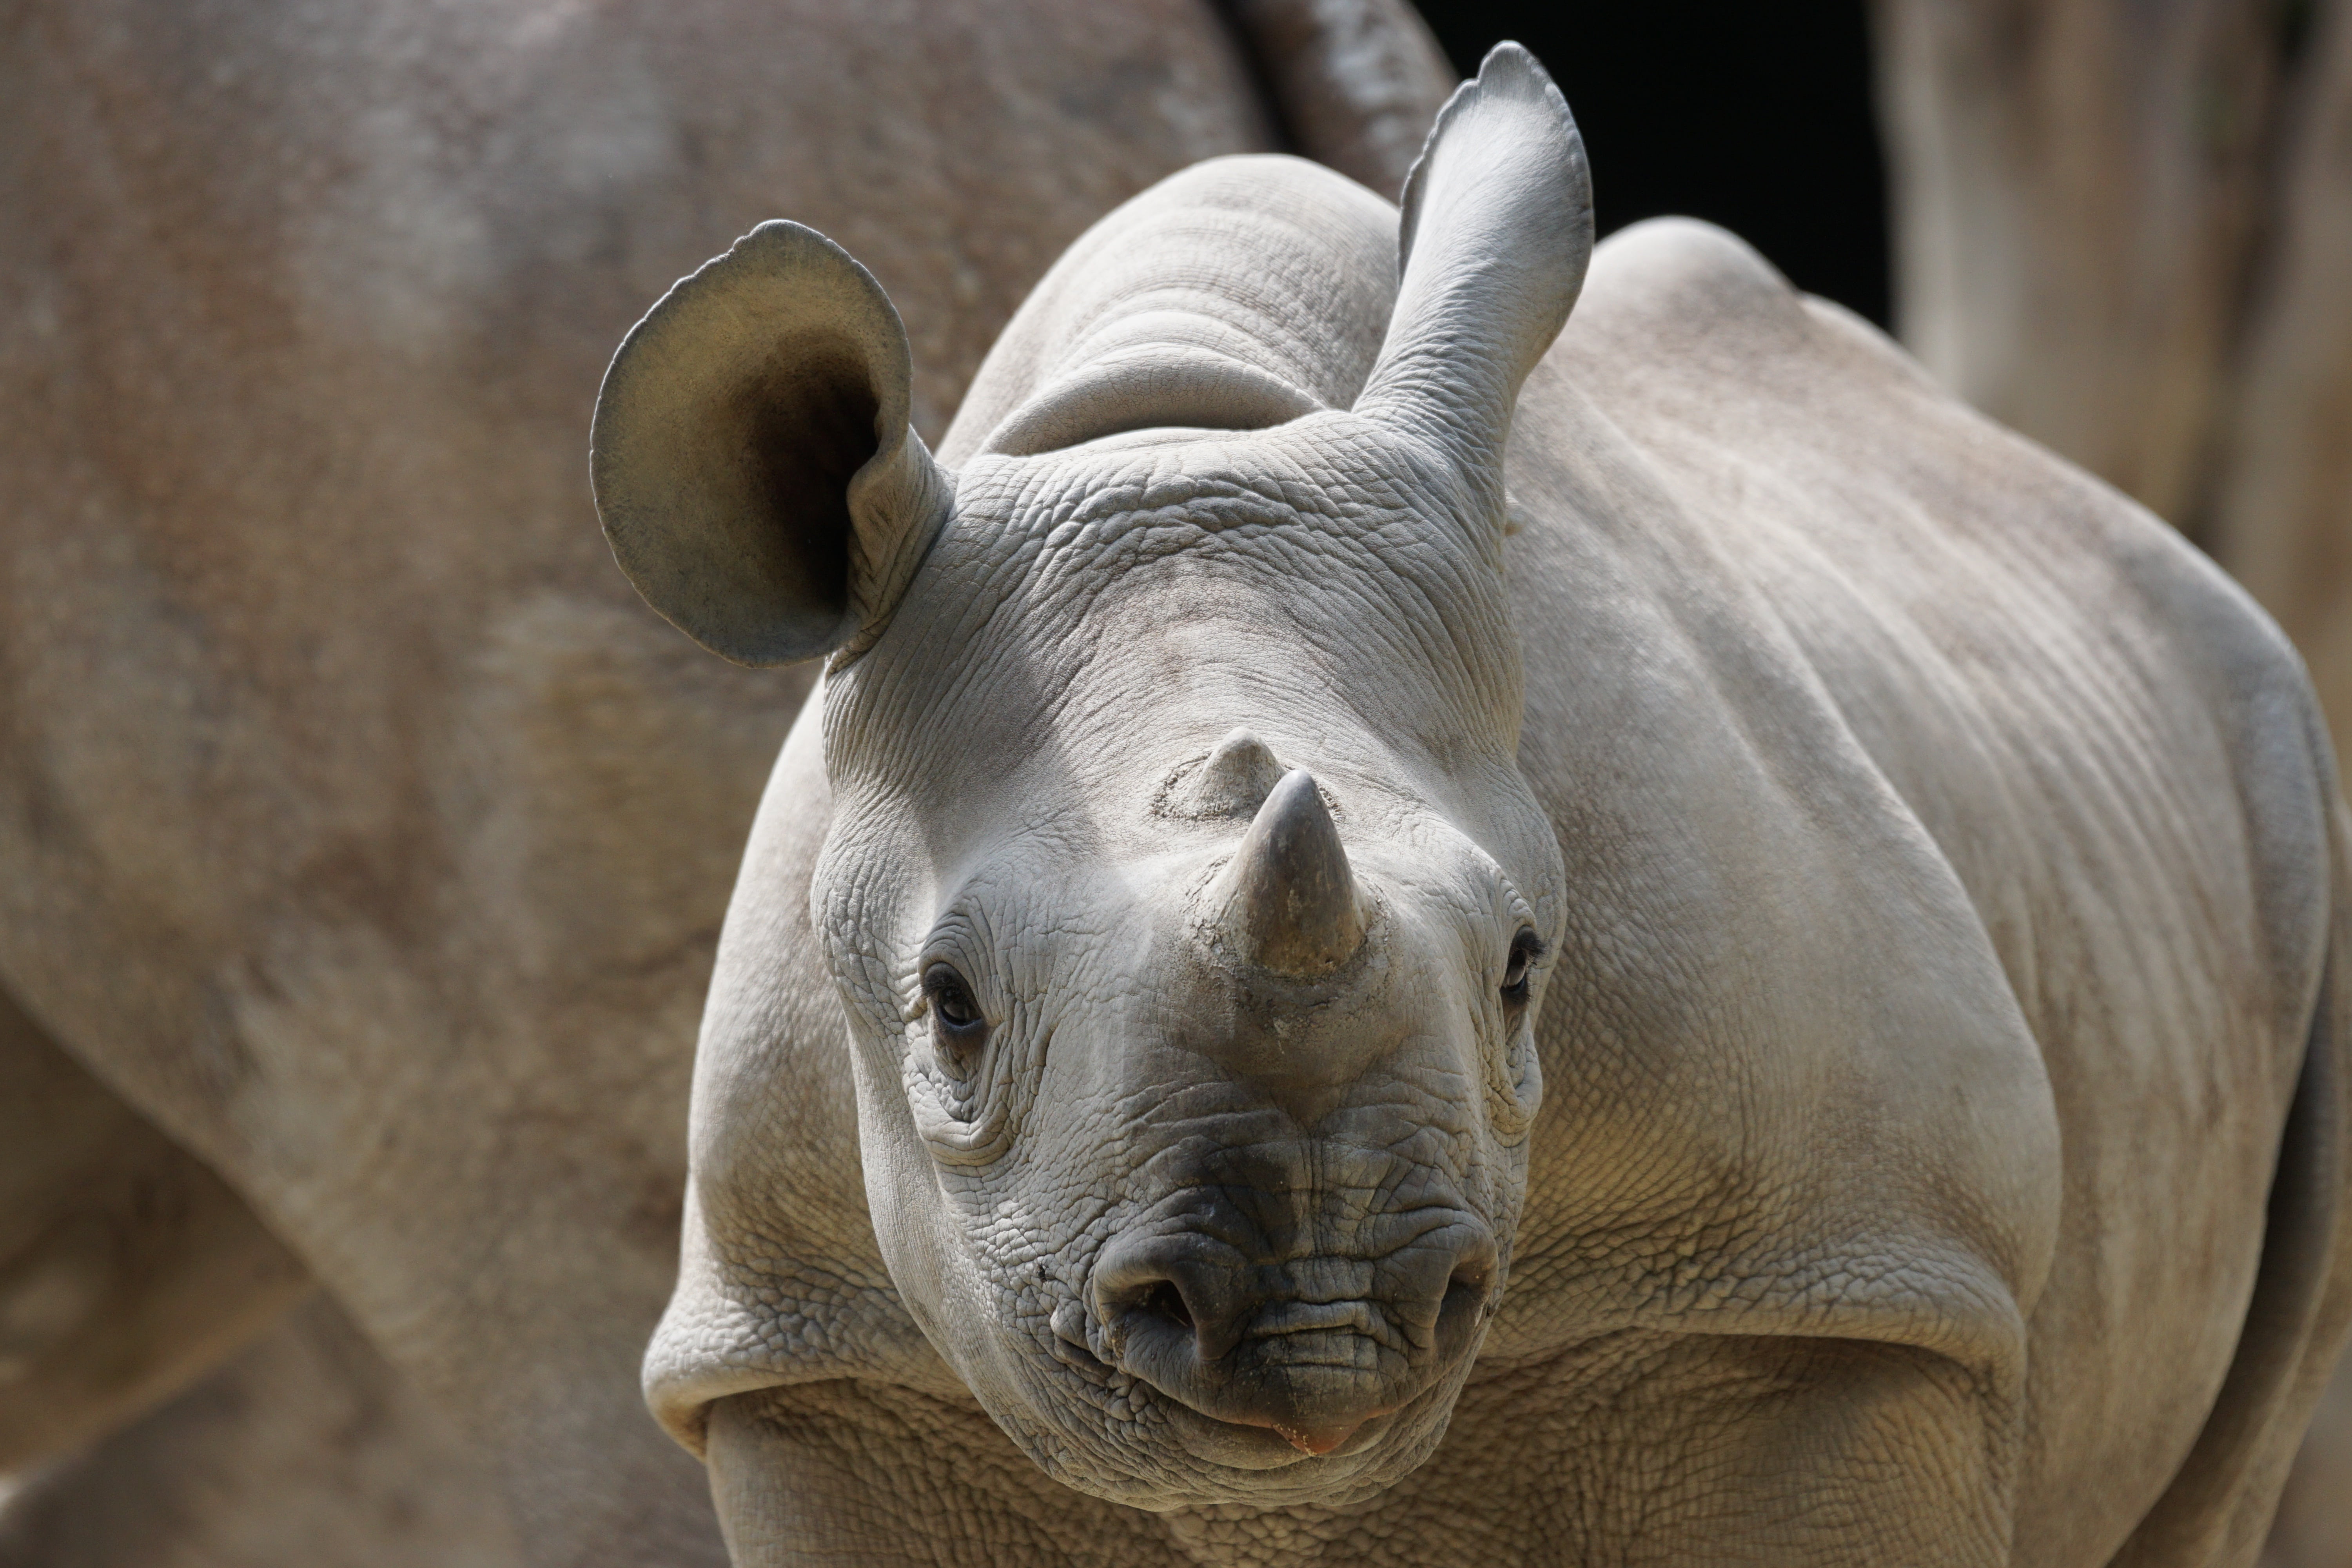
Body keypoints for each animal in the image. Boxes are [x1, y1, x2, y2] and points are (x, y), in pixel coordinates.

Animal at [593, 44, 2352, 1565]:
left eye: (1524, 970)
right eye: (946, 1008)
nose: (1323, 1321)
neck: (1174, 427)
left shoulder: (1846, 1280)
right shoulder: (810, 1353)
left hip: (2288, 773)